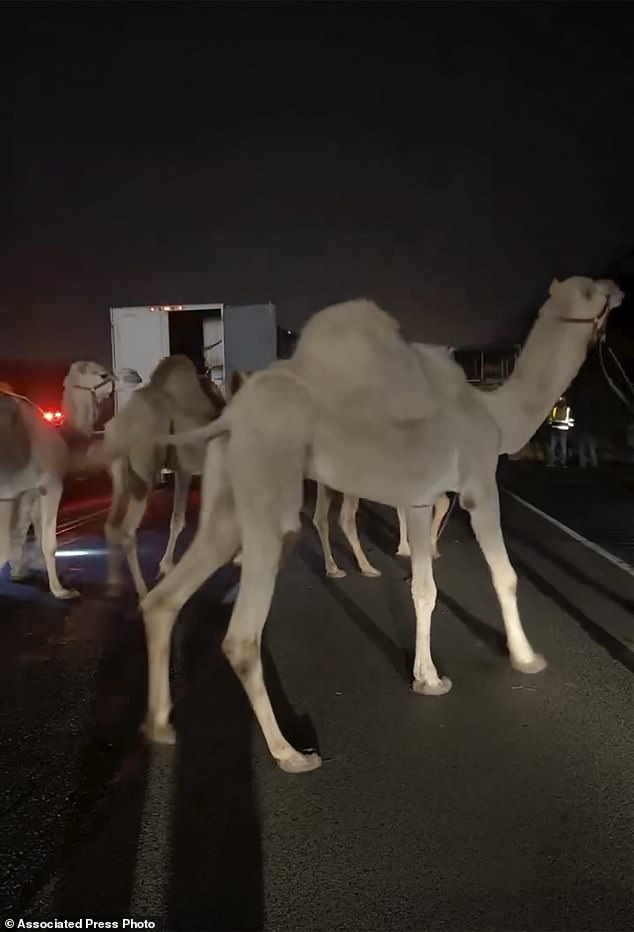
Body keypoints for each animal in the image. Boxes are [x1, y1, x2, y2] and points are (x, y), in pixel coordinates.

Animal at [137, 276, 624, 772]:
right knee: (240, 636)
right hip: (266, 488)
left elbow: (424, 589)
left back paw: (158, 725)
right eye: (590, 292)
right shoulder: (479, 487)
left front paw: (428, 679)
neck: (494, 414)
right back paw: (290, 753)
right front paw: (526, 657)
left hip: (225, 497)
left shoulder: (420, 499)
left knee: (164, 599)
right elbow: (504, 576)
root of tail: (231, 415)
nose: (616, 289)